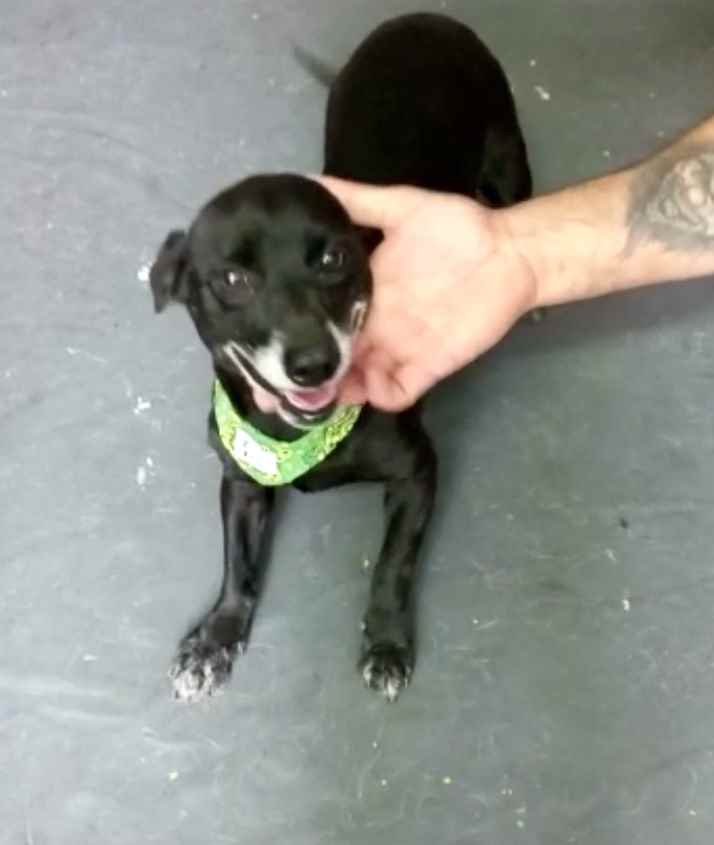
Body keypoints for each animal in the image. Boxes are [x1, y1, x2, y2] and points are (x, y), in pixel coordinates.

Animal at [149, 12, 531, 703]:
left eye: (333, 258)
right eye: (232, 280)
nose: (312, 364)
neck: (297, 438)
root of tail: (425, 17)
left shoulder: (417, 473)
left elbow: (392, 567)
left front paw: (386, 643)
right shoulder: (241, 480)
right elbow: (238, 568)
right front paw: (216, 638)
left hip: (508, 157)